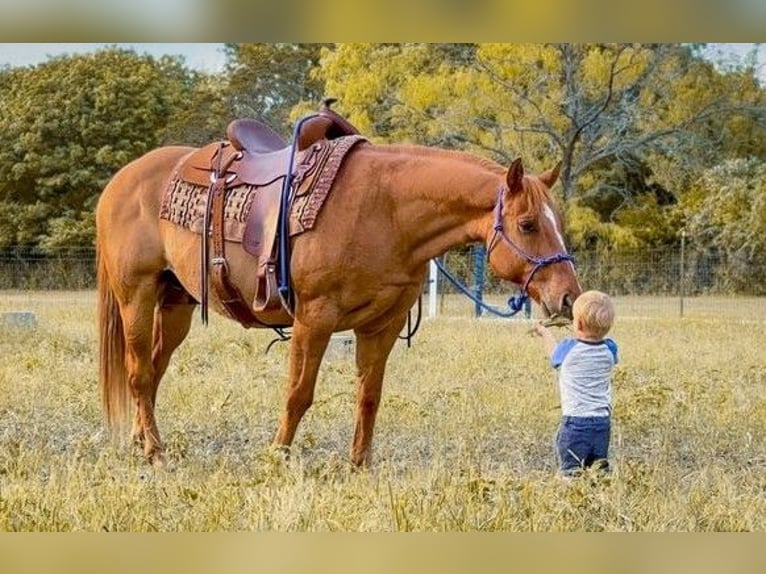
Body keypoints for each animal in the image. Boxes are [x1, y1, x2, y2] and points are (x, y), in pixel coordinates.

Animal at [96, 134, 581, 468]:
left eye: (557, 221)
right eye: (527, 223)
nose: (569, 296)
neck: (386, 211)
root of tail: (120, 181)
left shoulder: (381, 327)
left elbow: (369, 396)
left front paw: (359, 466)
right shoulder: (315, 319)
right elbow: (298, 394)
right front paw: (277, 457)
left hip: (175, 303)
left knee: (153, 372)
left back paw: (142, 442)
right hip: (136, 297)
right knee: (139, 374)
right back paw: (155, 453)